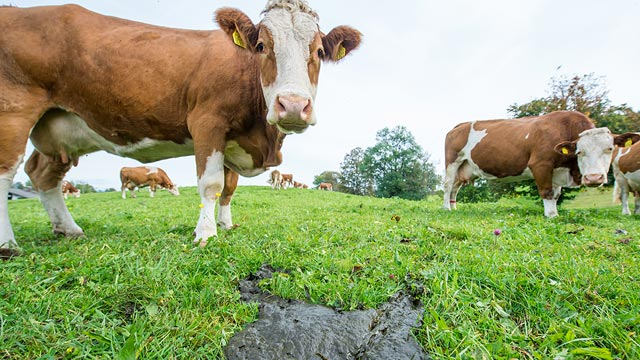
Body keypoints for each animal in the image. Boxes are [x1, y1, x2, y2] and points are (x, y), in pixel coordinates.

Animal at [0, 0, 360, 258]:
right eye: (261, 46)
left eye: (318, 52)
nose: (294, 105)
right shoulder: (207, 123)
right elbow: (211, 185)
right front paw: (205, 234)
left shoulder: (232, 143)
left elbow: (229, 189)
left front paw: (225, 224)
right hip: (14, 110)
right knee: (6, 172)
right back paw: (8, 245)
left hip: (59, 127)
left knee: (43, 174)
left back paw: (69, 229)